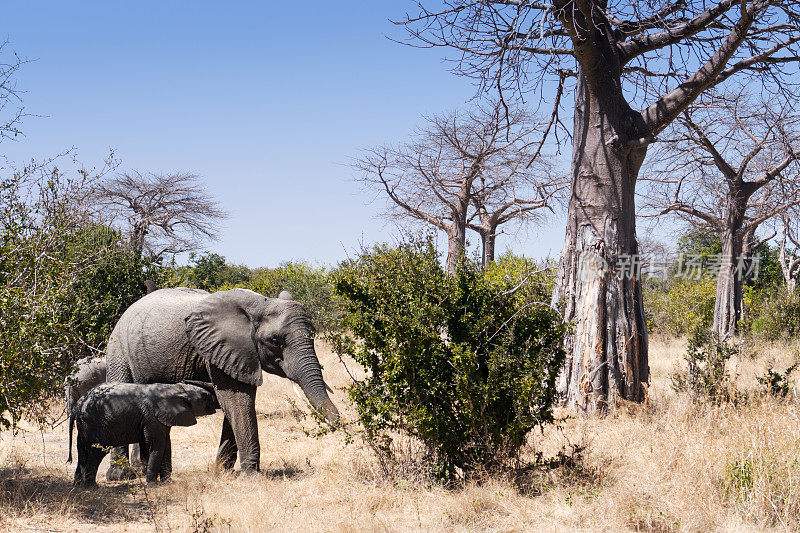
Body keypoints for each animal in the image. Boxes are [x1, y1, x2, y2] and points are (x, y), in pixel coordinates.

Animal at [69, 380, 217, 484]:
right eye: (205, 397)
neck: (173, 388)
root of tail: (77, 406)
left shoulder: (160, 419)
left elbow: (165, 446)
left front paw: (167, 483)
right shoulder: (152, 417)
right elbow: (156, 446)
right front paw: (152, 485)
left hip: (84, 426)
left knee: (82, 452)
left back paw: (78, 485)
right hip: (93, 423)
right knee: (96, 452)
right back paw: (92, 486)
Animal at [104, 286, 340, 478]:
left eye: (314, 334)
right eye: (275, 341)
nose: (338, 423)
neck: (258, 304)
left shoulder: (239, 356)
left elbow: (238, 403)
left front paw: (221, 471)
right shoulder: (222, 349)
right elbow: (237, 401)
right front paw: (251, 476)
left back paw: (143, 470)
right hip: (117, 350)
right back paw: (121, 475)